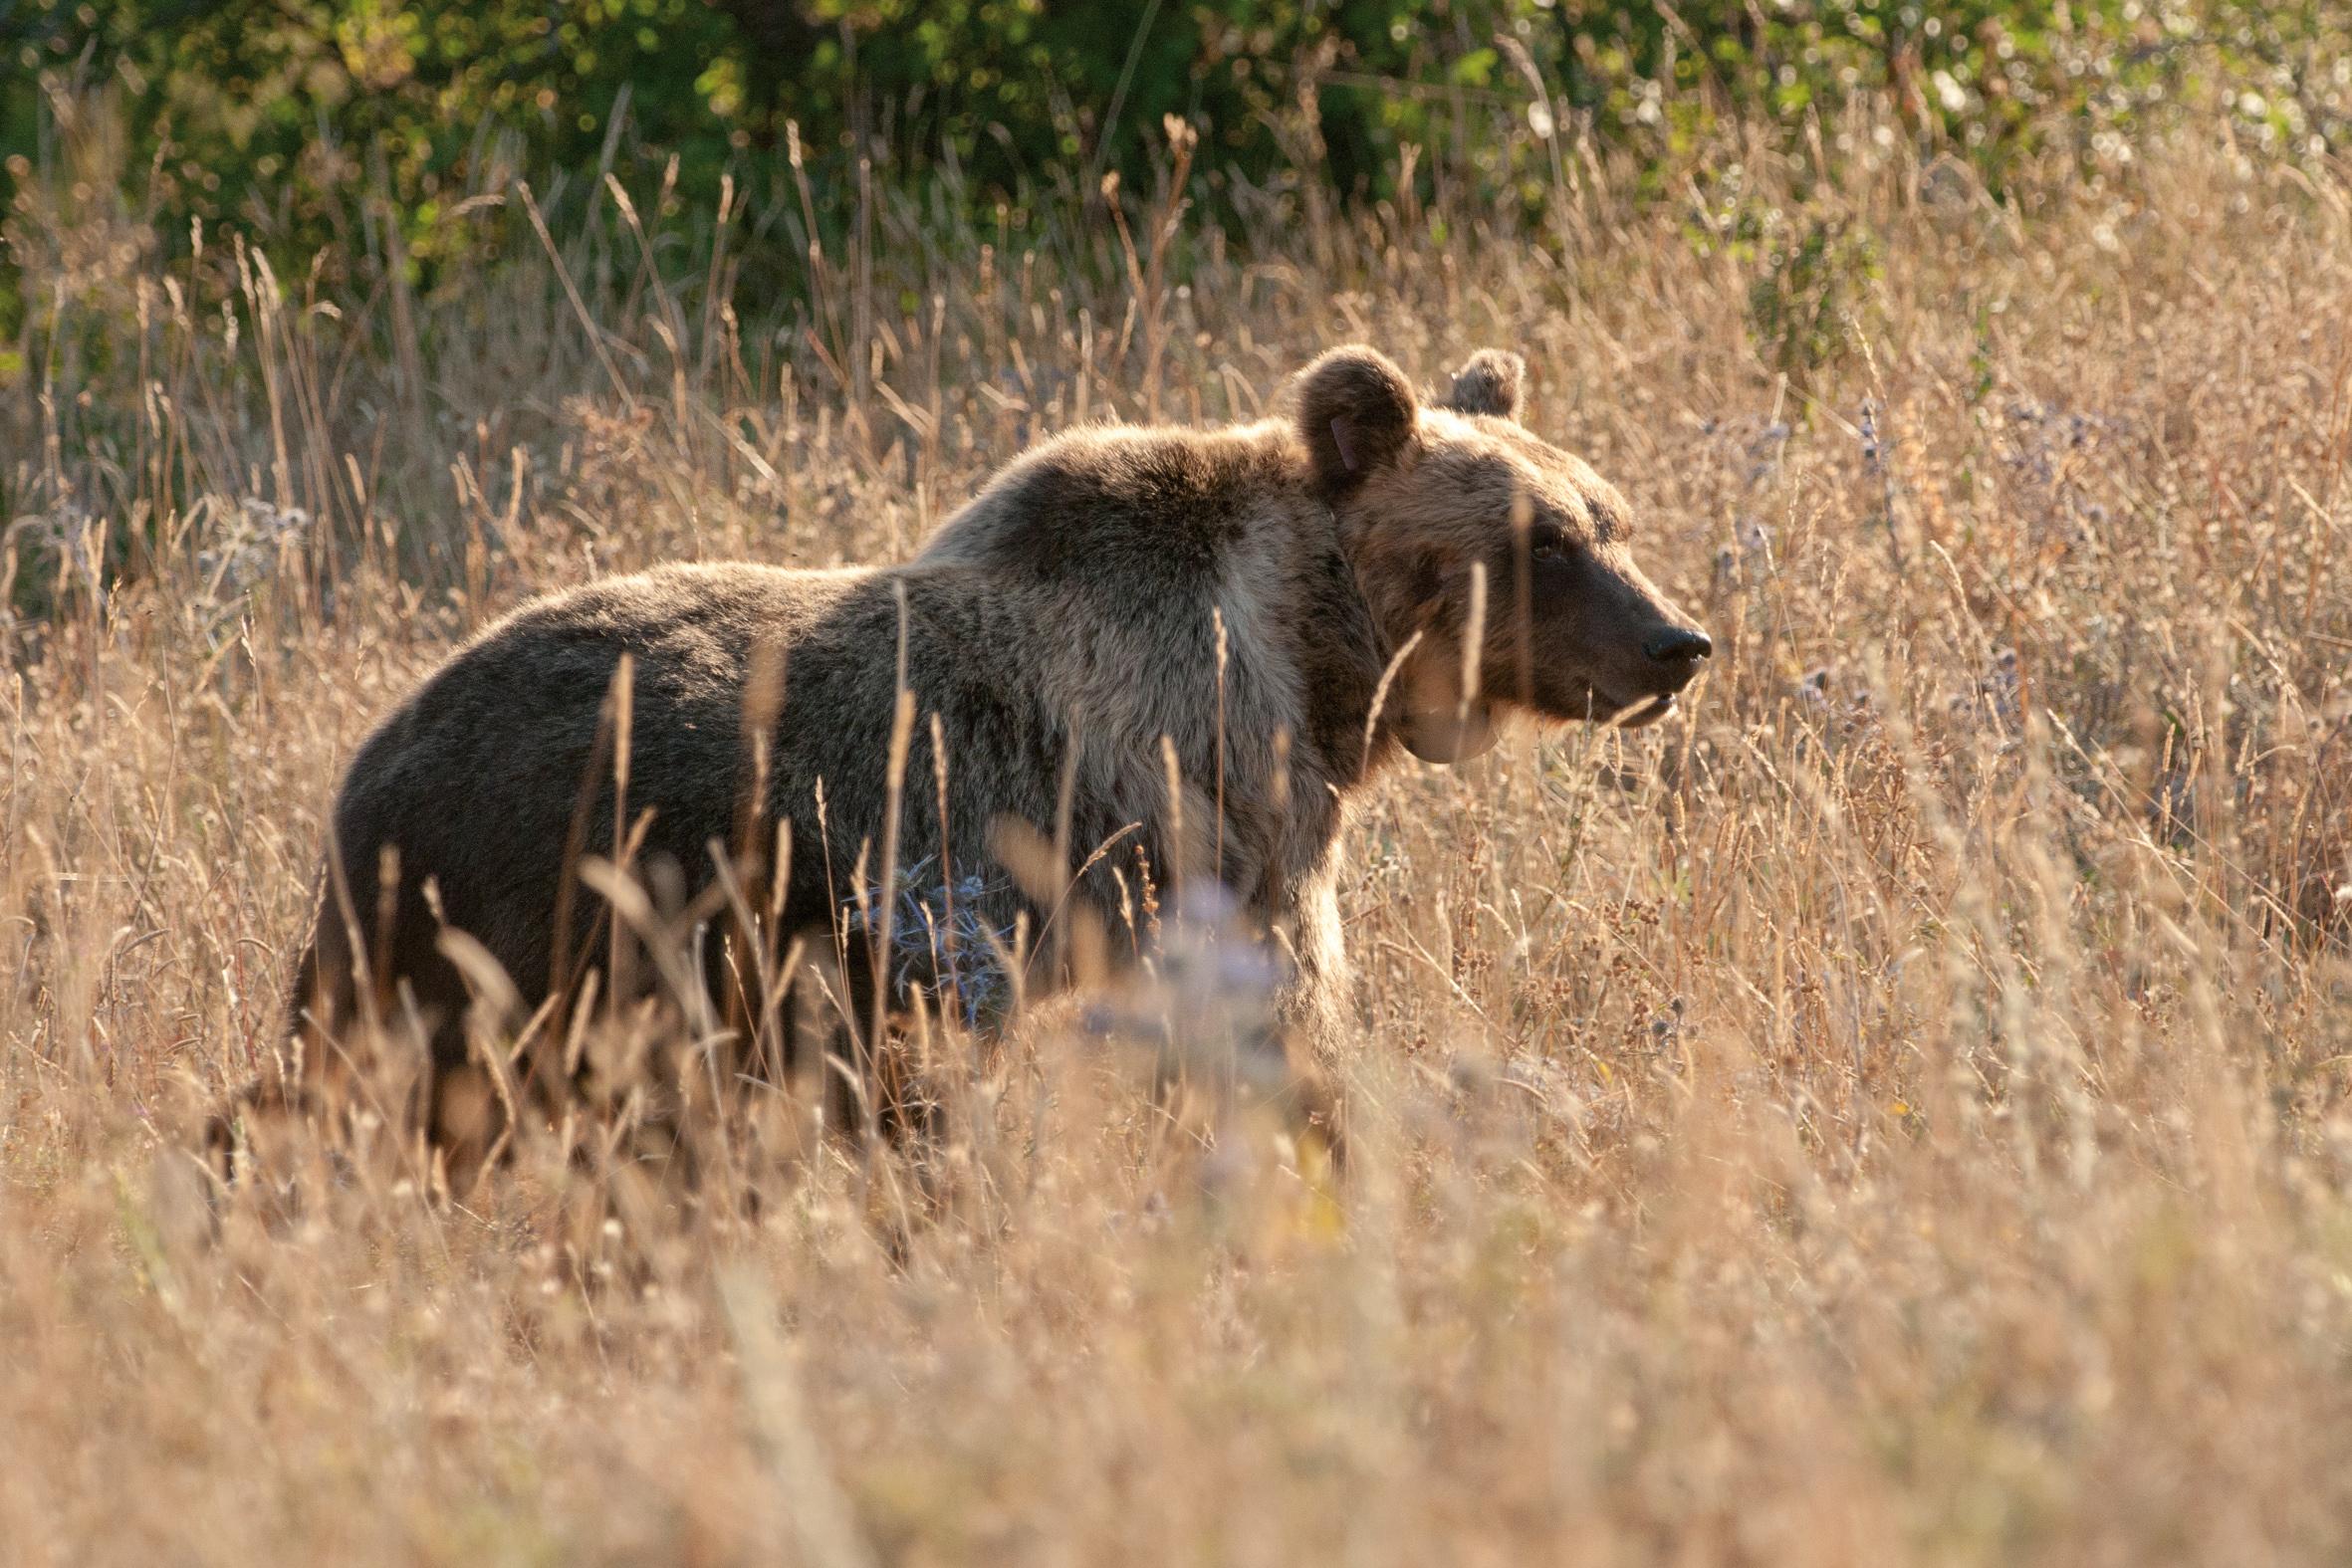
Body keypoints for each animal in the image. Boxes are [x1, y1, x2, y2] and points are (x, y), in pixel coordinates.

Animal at [257, 342, 1712, 1170]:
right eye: (1543, 543)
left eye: (1611, 518)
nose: (1676, 642)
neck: (1318, 652)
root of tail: (366, 772)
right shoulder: (1212, 792)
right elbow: (1283, 1002)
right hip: (568, 899)